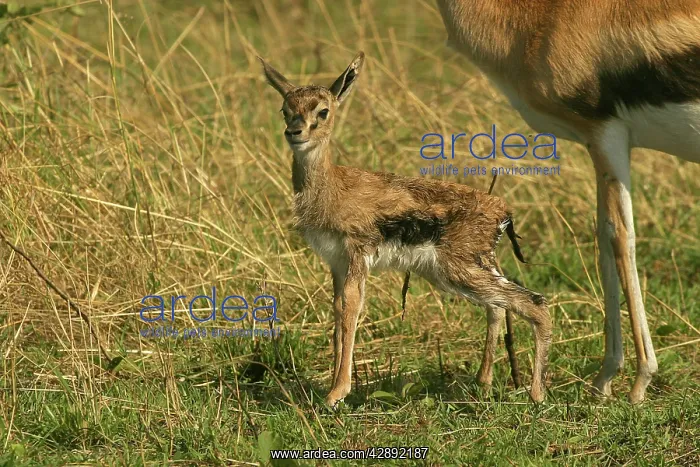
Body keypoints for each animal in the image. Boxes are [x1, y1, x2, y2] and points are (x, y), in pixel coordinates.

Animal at [260, 52, 552, 407]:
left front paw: (336, 393)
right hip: (470, 270)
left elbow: (352, 308)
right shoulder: (336, 263)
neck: (330, 188)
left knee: (534, 303)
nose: (295, 131)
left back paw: (536, 395)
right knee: (499, 307)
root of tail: (502, 211)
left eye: (323, 110)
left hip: (460, 271)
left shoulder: (357, 255)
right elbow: (338, 311)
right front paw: (332, 385)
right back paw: (484, 383)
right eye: (285, 109)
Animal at [436, 0, 700, 403]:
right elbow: (603, 240)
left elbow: (619, 238)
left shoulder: (606, 135)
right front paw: (603, 380)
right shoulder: (601, 145)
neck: (541, 20)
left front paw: (639, 382)